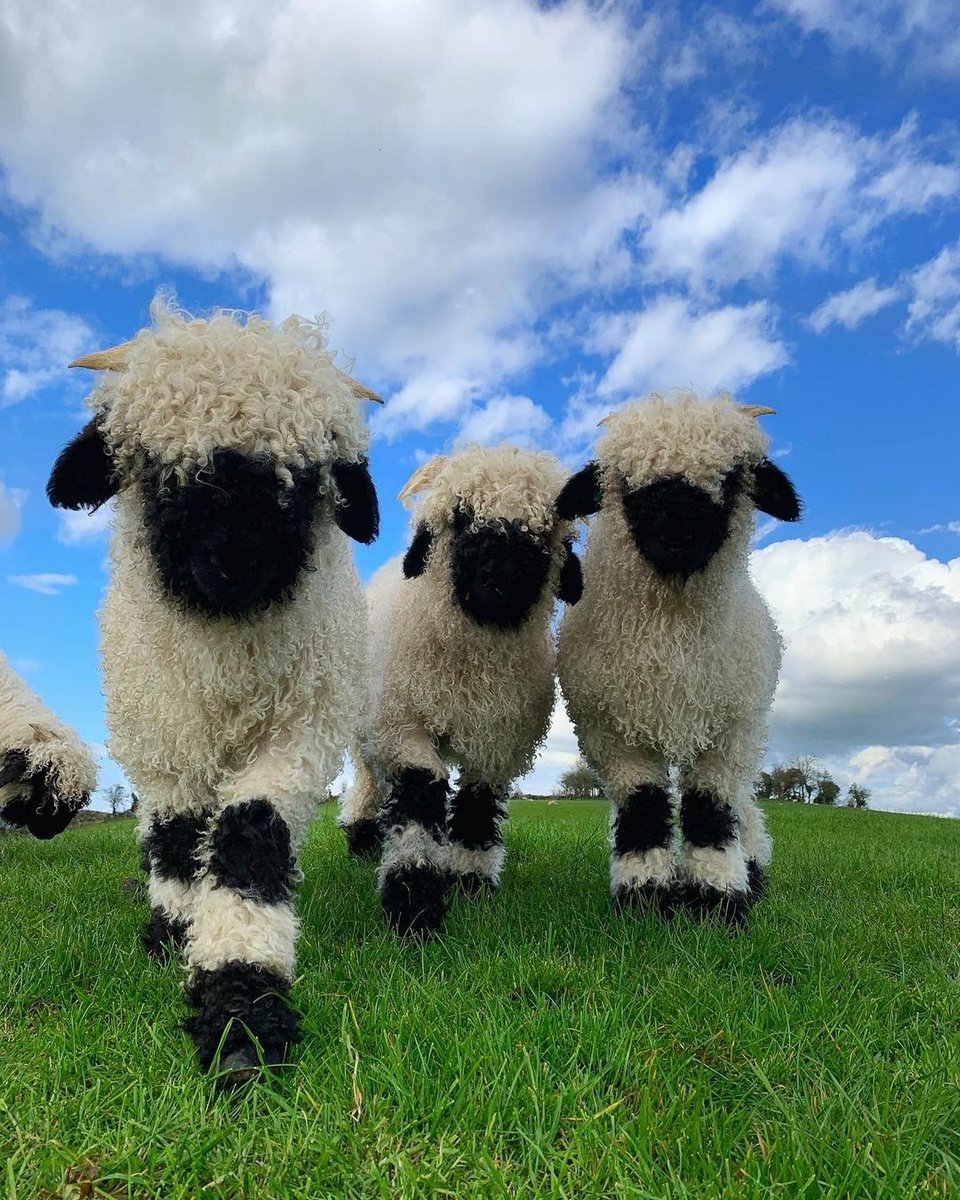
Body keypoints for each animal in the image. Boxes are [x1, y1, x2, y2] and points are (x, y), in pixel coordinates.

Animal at [46, 298, 380, 1085]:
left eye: (306, 477)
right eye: (154, 467)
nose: (234, 560)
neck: (225, 649)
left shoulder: (297, 733)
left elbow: (248, 836)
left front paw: (242, 1017)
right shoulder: (165, 742)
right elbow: (174, 839)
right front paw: (178, 934)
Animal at [338, 444, 584, 938]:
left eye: (544, 528)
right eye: (462, 516)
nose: (501, 580)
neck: (471, 669)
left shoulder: (498, 741)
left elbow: (476, 808)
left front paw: (470, 883)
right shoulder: (404, 726)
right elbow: (419, 795)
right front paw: (413, 904)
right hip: (371, 724)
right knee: (370, 779)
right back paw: (361, 839)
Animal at [556, 393, 801, 924]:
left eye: (732, 477)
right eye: (625, 480)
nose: (676, 534)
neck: (670, 638)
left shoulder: (729, 730)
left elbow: (710, 810)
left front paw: (719, 899)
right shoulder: (610, 732)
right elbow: (643, 808)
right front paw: (645, 896)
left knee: (744, 806)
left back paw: (754, 871)